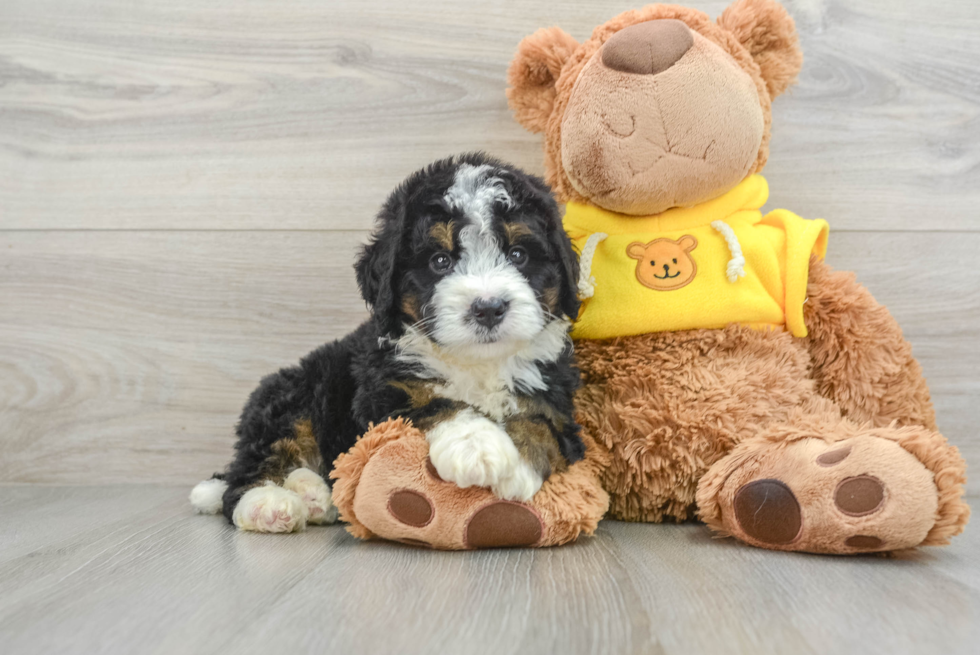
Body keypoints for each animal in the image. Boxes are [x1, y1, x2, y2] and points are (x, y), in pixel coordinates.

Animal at [193, 152, 580, 532]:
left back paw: (314, 495)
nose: (488, 308)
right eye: (440, 261)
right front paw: (477, 446)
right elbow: (431, 402)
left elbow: (542, 424)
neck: (477, 363)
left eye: (518, 255)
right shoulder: (379, 396)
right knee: (248, 473)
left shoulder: (558, 401)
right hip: (289, 400)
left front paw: (518, 466)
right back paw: (268, 503)